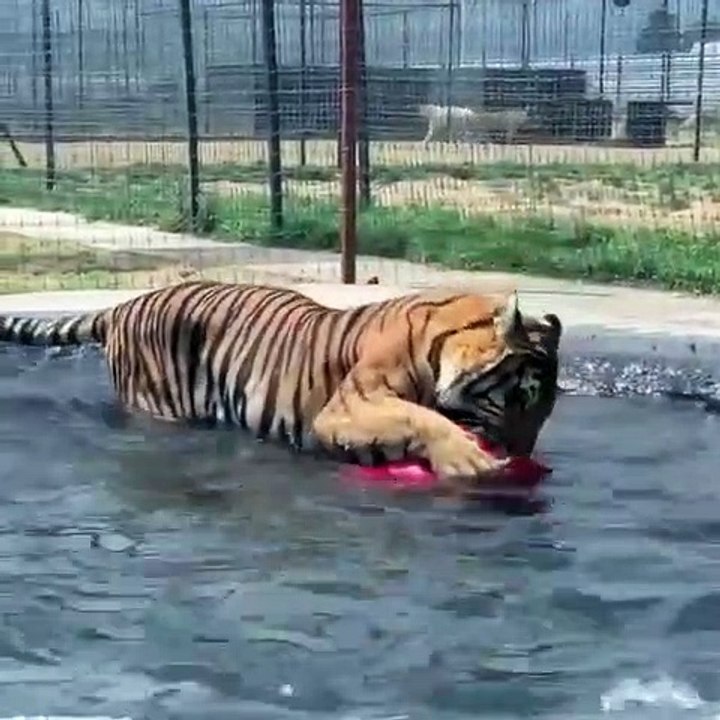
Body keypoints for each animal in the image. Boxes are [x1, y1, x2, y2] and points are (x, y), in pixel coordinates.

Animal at [0, 281, 562, 491]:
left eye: (544, 415)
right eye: (521, 400)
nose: (522, 455)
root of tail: (124, 304)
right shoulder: (347, 407)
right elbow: (419, 416)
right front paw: (465, 458)